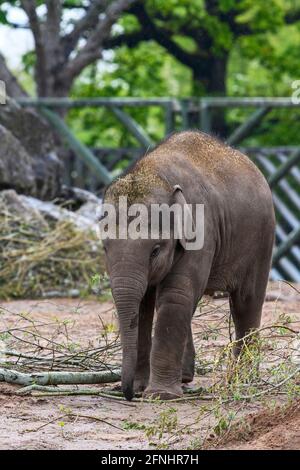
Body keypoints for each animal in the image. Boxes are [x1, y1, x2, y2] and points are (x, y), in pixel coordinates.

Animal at [102, 131, 276, 400]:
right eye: (104, 248)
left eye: (155, 250)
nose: (128, 393)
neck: (156, 174)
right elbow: (143, 304)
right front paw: (144, 388)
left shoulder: (201, 230)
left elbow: (176, 295)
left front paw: (160, 395)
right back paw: (185, 378)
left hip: (261, 239)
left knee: (246, 302)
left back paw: (241, 381)